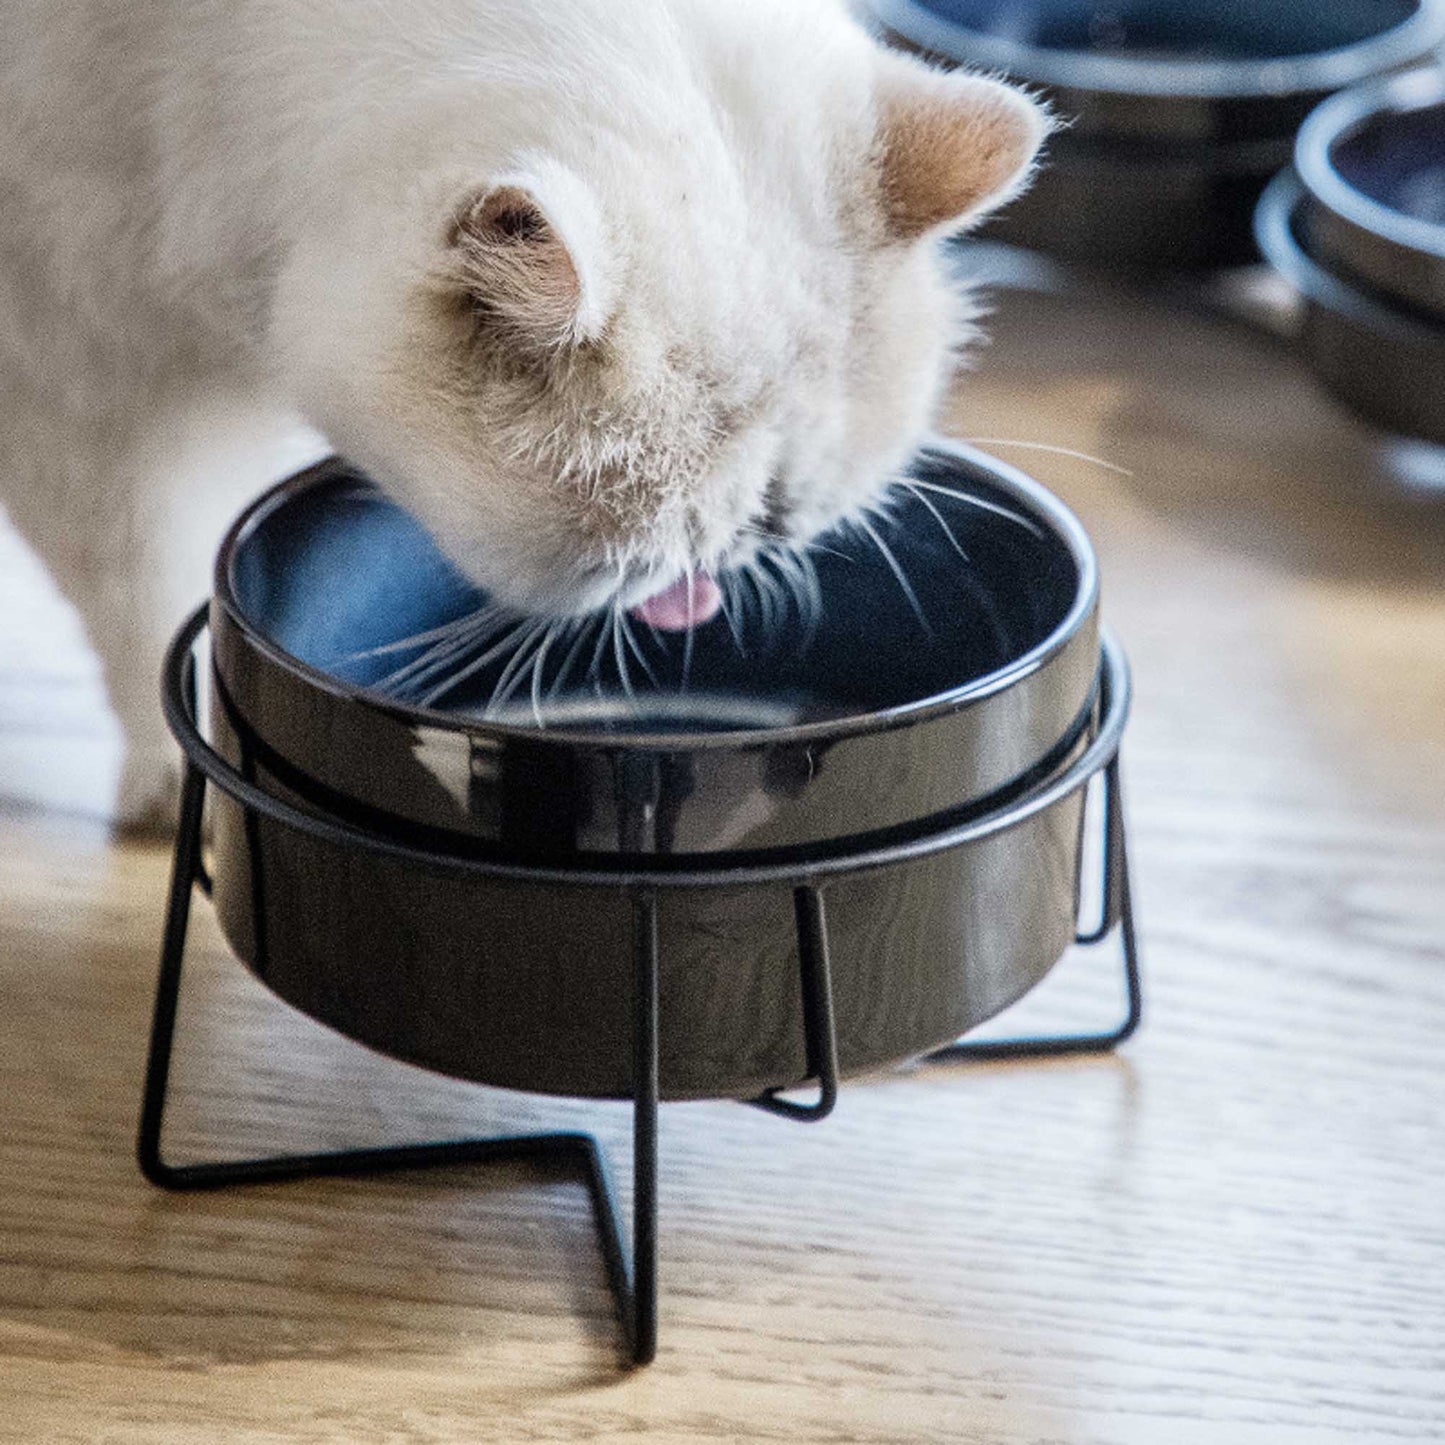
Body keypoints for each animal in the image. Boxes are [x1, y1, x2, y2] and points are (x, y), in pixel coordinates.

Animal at [0, 0, 1046, 826]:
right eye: (639, 563)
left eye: (778, 523)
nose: (707, 590)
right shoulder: (80, 382)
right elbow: (150, 588)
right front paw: (176, 777)